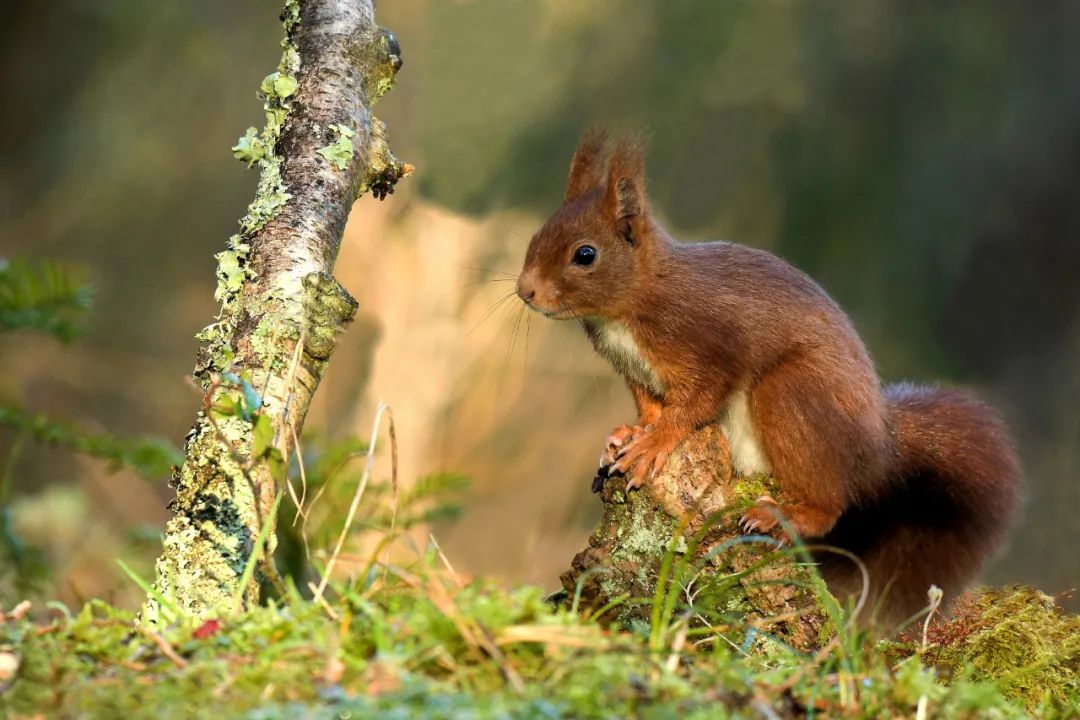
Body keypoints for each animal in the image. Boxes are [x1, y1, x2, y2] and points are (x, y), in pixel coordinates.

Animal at [514, 131, 1019, 626]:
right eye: (536, 237)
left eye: (585, 254)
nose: (525, 290)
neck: (632, 303)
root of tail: (879, 449)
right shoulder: (635, 371)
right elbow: (650, 406)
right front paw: (628, 434)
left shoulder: (710, 347)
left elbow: (696, 404)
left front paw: (654, 443)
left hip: (790, 393)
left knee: (829, 504)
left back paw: (782, 516)